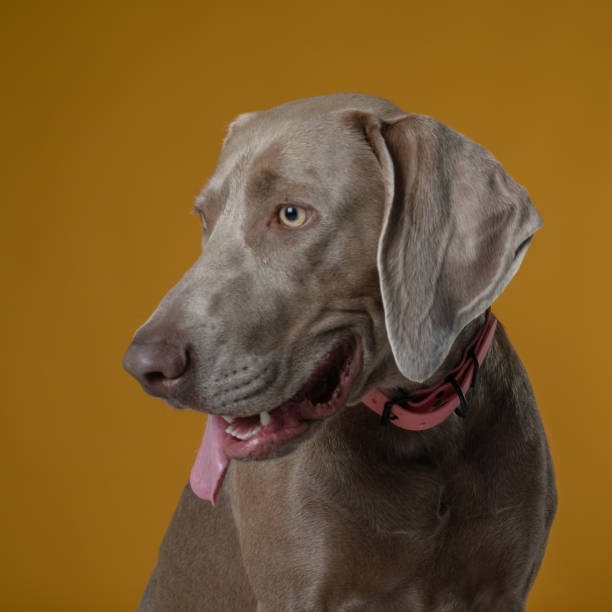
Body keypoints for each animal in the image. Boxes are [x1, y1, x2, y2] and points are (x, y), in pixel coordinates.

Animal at [123, 93, 556, 608]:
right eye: (205, 219)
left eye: (291, 214)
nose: (143, 366)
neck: (423, 431)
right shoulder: (300, 591)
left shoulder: (503, 588)